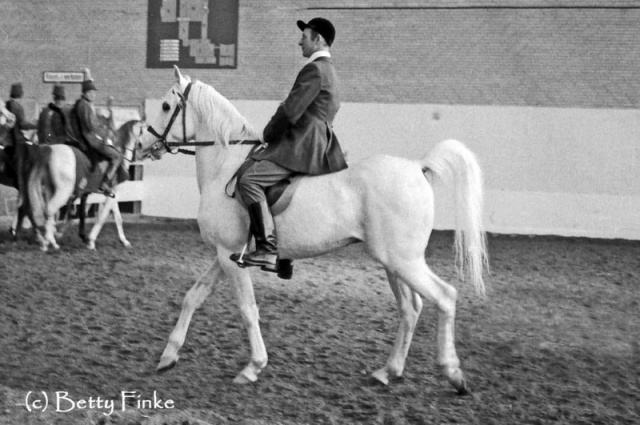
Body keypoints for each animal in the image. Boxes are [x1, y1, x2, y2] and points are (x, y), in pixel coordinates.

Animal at [140, 66, 488, 394]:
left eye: (166, 105)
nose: (144, 144)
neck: (225, 167)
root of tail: (417, 166)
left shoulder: (229, 255)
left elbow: (247, 309)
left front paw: (253, 366)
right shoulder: (226, 254)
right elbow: (193, 296)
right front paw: (168, 356)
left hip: (403, 261)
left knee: (444, 297)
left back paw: (453, 374)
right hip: (393, 263)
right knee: (411, 308)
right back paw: (388, 372)